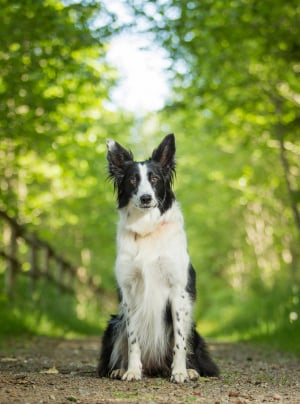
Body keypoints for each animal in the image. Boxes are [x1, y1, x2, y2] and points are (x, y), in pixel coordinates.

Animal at [98, 135, 218, 382]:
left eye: (154, 178)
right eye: (132, 180)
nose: (146, 198)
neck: (147, 230)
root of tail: (155, 367)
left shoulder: (178, 292)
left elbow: (179, 341)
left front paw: (180, 372)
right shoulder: (129, 293)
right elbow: (133, 340)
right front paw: (133, 371)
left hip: (193, 327)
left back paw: (188, 370)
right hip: (115, 322)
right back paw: (119, 369)